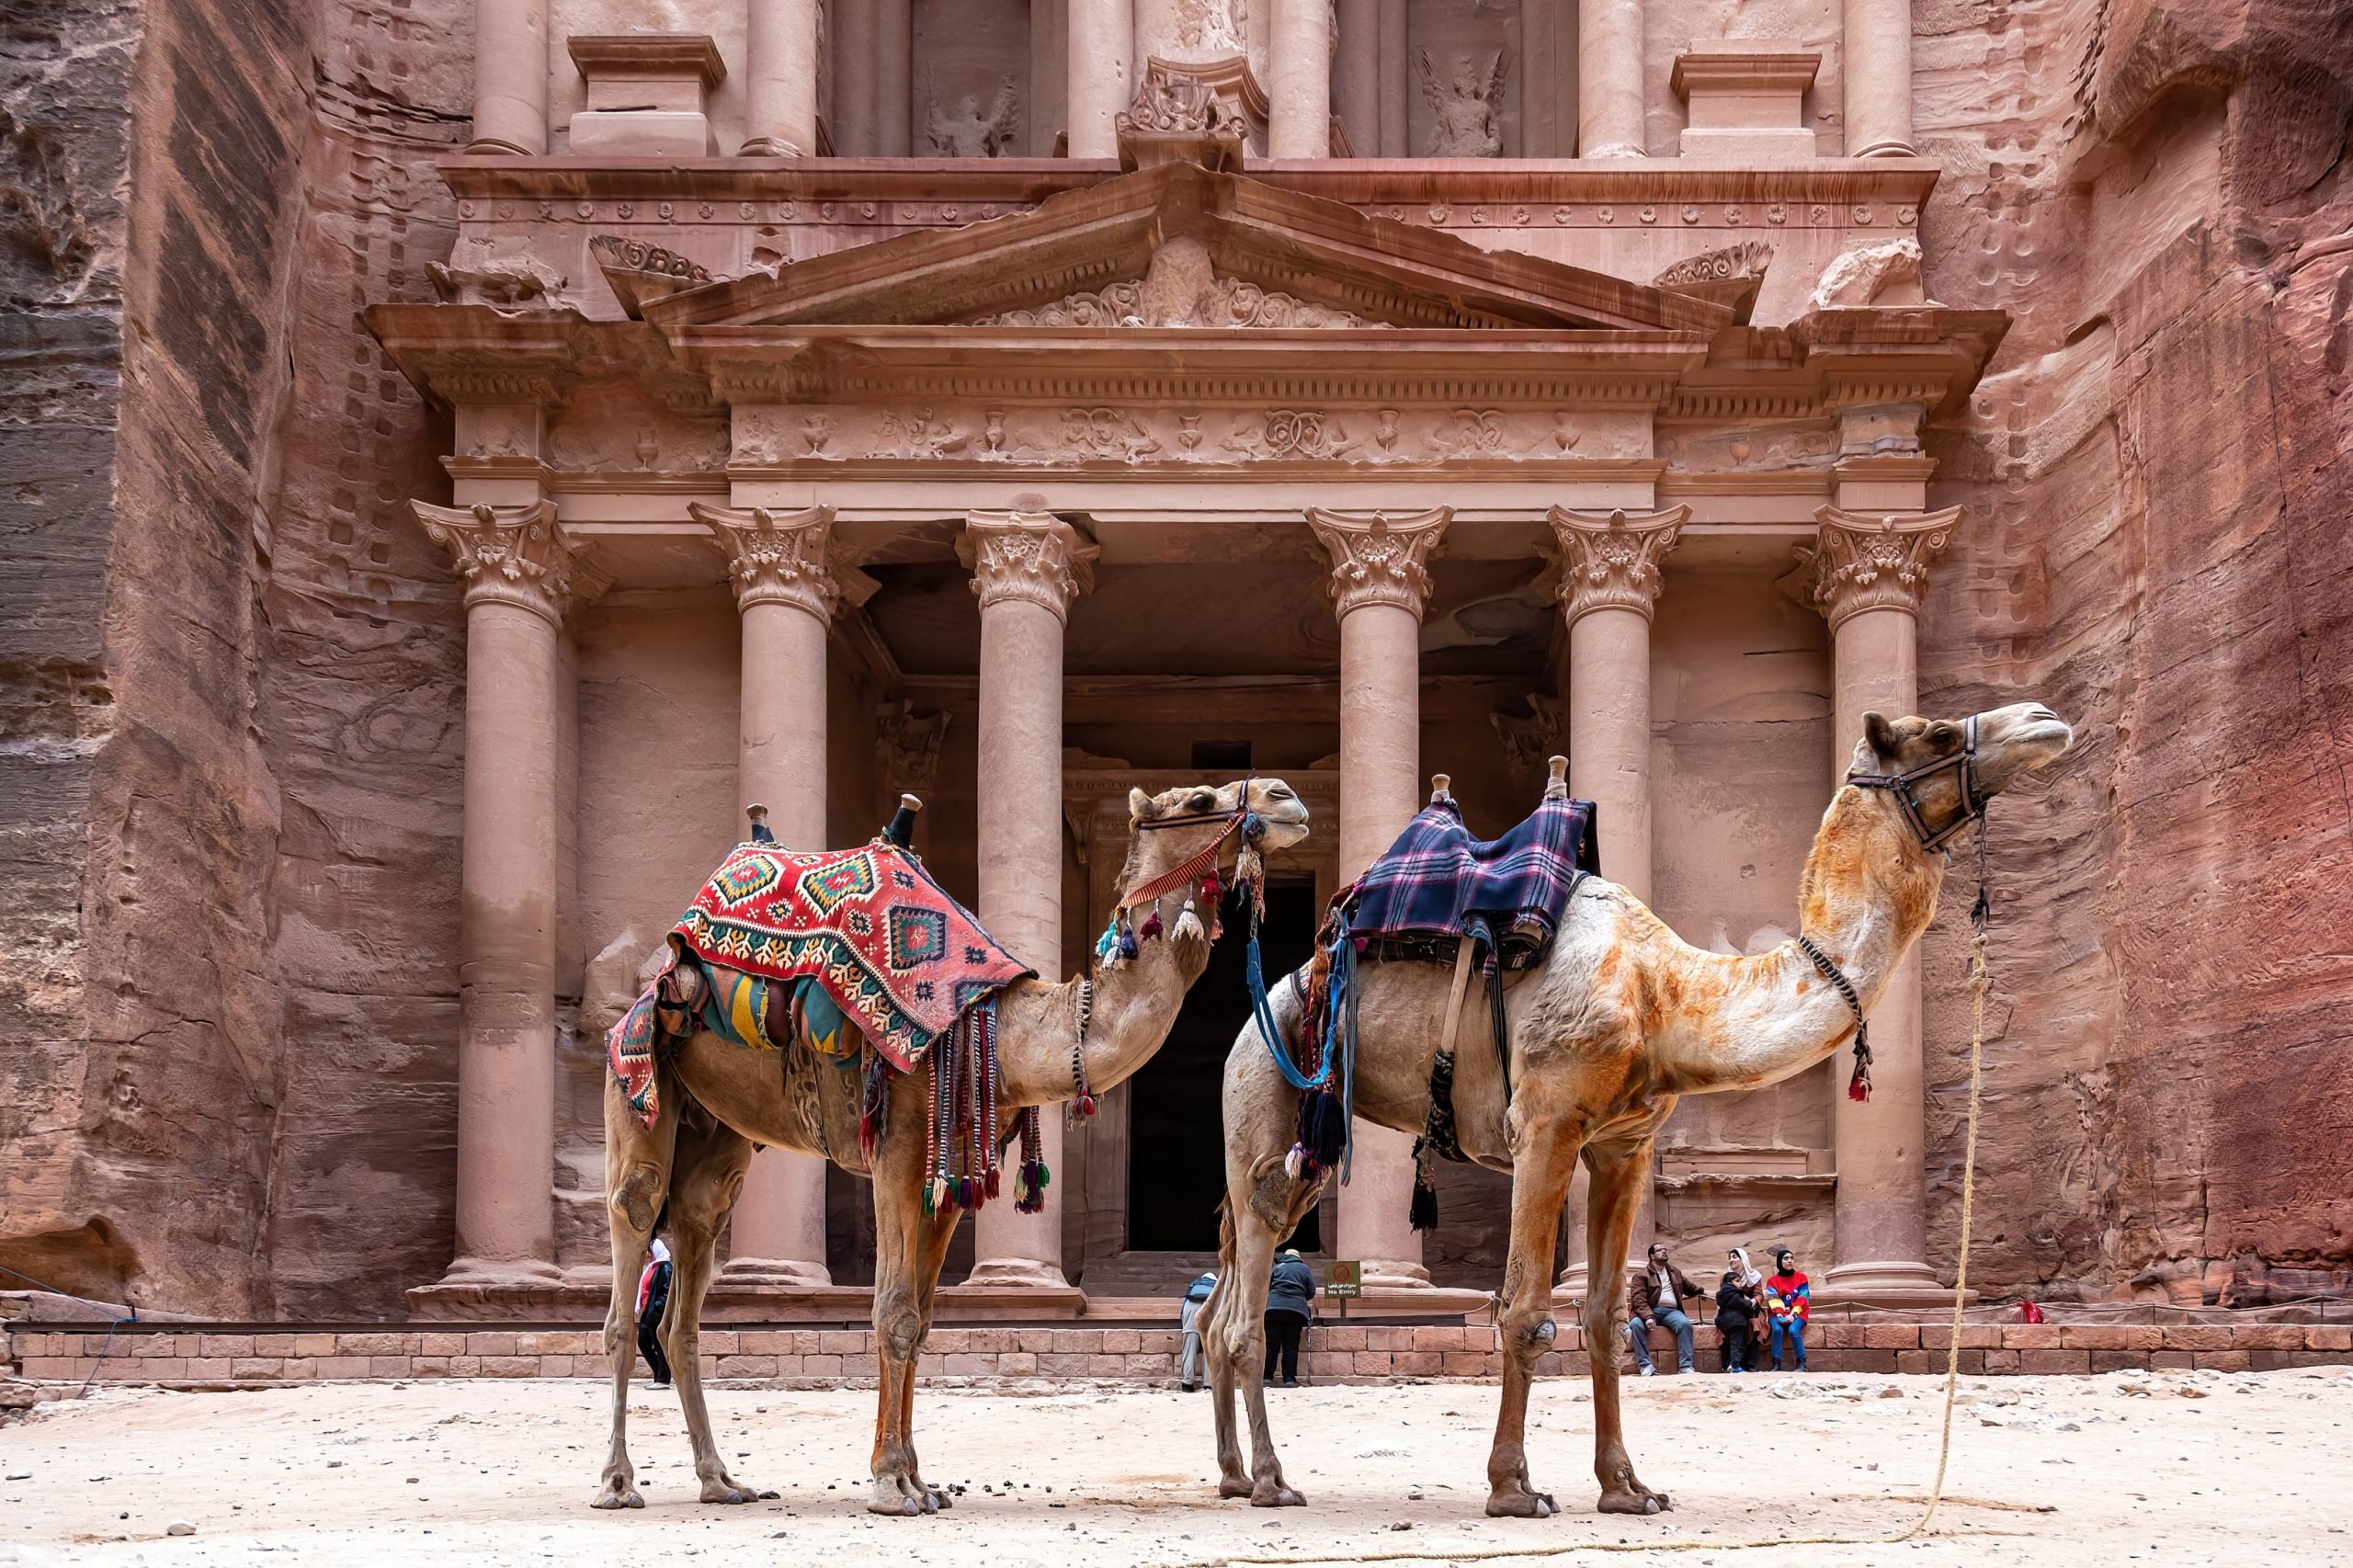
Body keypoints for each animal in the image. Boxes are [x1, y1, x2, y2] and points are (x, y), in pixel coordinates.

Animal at [588, 777, 1308, 1506]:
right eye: (1198, 801)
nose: (1286, 799)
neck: (1008, 1030)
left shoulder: (951, 1179)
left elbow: (922, 1319)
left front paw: (917, 1479)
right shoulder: (896, 1149)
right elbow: (890, 1311)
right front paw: (888, 1484)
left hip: (717, 1137)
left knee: (686, 1285)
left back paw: (720, 1480)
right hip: (636, 1079)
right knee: (631, 1244)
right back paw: (618, 1482)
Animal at [1204, 701, 2070, 1506]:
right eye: (1934, 733)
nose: (2043, 720)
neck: (1665, 996)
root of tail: (1265, 1007)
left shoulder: (1624, 1144)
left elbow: (1603, 1316)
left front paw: (1627, 1487)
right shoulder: (1545, 1125)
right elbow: (1523, 1311)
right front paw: (1513, 1489)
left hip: (1299, 1142)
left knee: (1218, 1312)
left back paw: (1235, 1477)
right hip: (1263, 1091)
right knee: (1246, 1316)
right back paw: (1274, 1481)